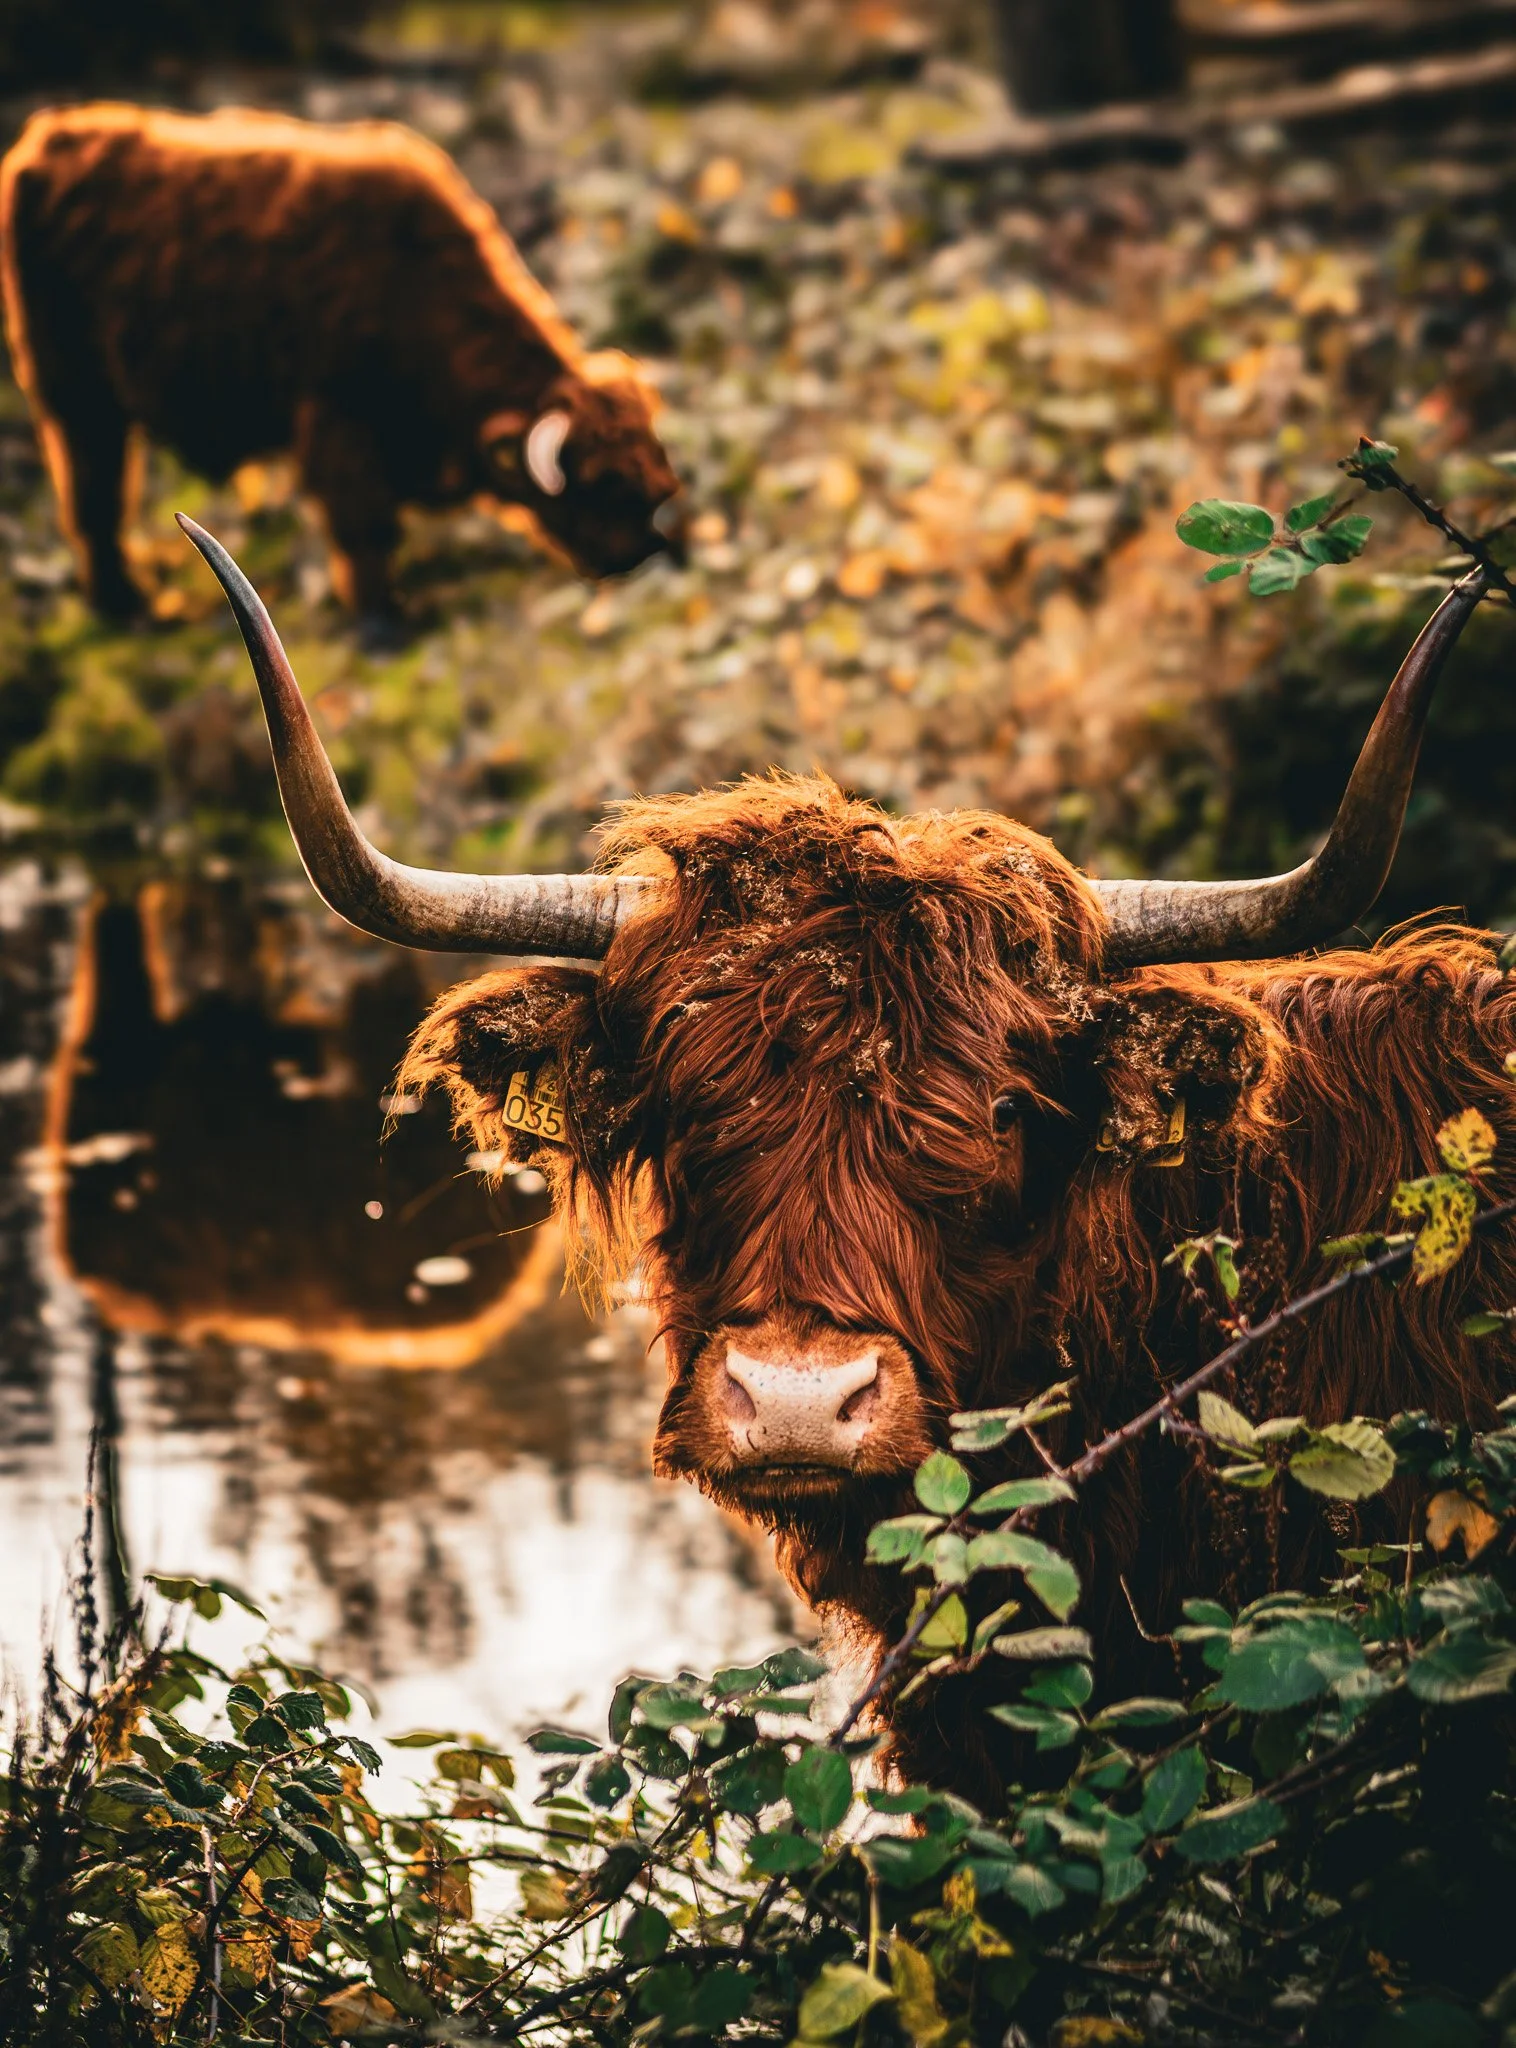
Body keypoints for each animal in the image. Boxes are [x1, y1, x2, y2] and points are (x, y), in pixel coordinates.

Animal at [0, 104, 686, 635]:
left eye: (656, 478)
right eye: (600, 485)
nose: (641, 554)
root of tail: (49, 141)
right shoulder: (340, 425)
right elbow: (366, 530)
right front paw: (386, 615)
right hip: (74, 396)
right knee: (93, 498)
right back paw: (128, 605)